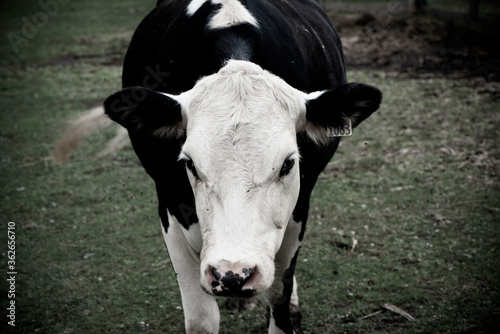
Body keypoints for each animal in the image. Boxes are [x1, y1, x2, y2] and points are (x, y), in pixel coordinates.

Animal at [101, 0, 382, 334]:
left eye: (288, 163)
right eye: (190, 164)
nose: (233, 275)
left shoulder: (298, 208)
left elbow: (279, 295)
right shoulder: (167, 202)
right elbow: (201, 318)